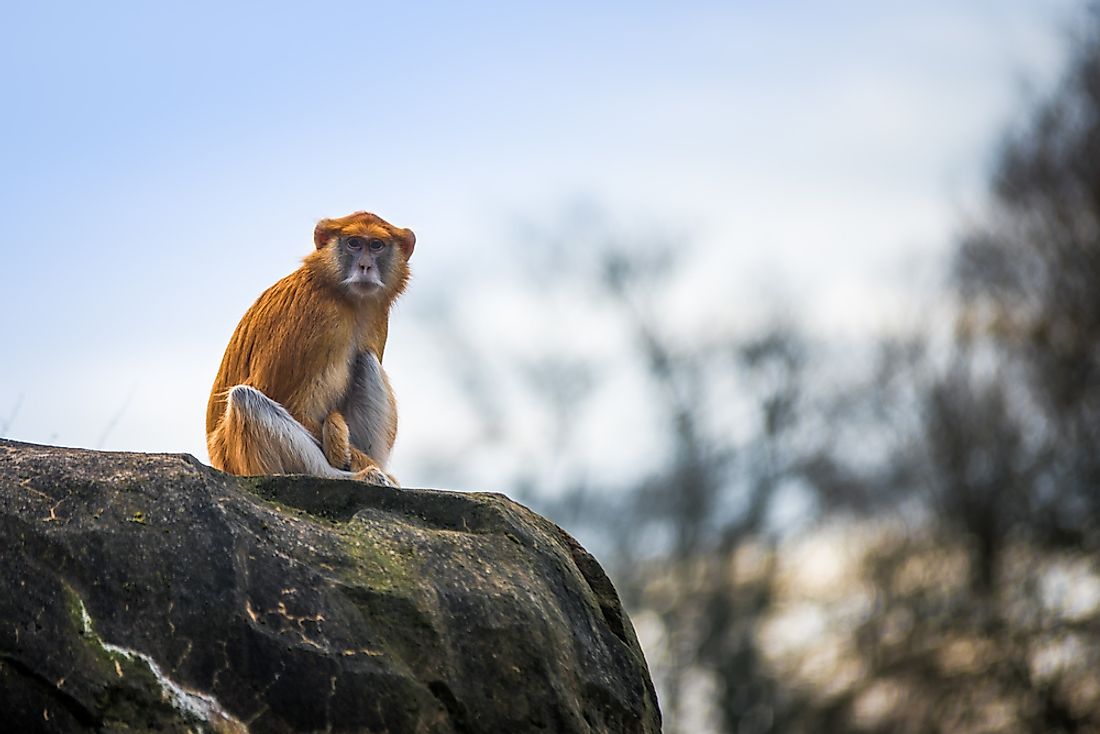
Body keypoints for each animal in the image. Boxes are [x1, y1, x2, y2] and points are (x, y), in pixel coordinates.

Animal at [204, 211, 413, 488]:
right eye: (354, 243)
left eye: (376, 245)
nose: (365, 267)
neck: (341, 295)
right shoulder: (317, 316)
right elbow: (283, 400)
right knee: (245, 400)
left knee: (366, 361)